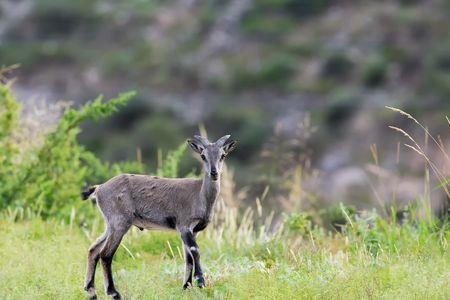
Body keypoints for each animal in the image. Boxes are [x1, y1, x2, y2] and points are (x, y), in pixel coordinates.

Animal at [81, 135, 236, 298]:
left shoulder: (193, 231)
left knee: (93, 250)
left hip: (110, 225)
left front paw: (186, 287)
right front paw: (200, 281)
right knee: (105, 254)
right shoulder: (184, 226)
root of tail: (99, 188)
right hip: (119, 223)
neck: (199, 195)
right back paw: (113, 292)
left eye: (223, 155)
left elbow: (188, 258)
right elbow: (194, 250)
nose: (214, 173)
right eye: (203, 156)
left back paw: (91, 290)